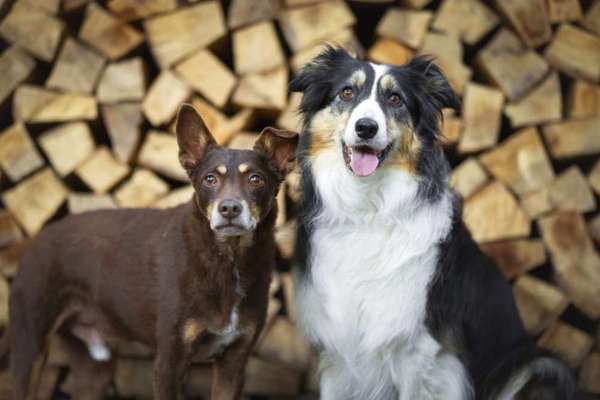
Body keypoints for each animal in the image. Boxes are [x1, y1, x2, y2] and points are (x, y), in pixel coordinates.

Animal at [2, 104, 298, 398]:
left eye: (256, 179)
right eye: (209, 179)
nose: (229, 208)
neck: (227, 259)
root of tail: (37, 237)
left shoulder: (234, 362)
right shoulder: (170, 361)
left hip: (94, 365)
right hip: (30, 343)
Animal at [290, 47, 576, 400]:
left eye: (395, 99)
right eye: (346, 92)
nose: (366, 127)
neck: (367, 210)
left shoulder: (422, 352)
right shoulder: (336, 352)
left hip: (541, 366)